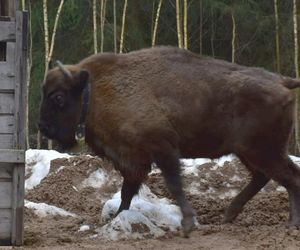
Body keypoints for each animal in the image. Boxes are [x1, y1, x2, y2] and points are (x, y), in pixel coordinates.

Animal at [39, 46, 300, 236]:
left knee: (288, 177)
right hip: (250, 152)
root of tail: (281, 81)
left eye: (59, 97)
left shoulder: (162, 150)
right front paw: (117, 218)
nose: (43, 127)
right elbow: (126, 192)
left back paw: (291, 223)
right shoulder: (135, 161)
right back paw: (229, 216)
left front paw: (188, 224)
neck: (93, 92)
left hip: (263, 151)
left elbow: (173, 184)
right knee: (266, 176)